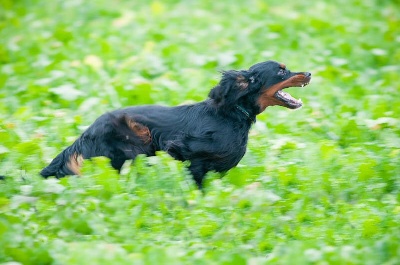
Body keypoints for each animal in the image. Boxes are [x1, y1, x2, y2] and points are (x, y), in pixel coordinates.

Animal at [40, 60, 310, 188]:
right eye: (281, 72)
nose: (309, 73)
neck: (231, 113)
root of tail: (88, 132)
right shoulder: (189, 152)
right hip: (133, 139)